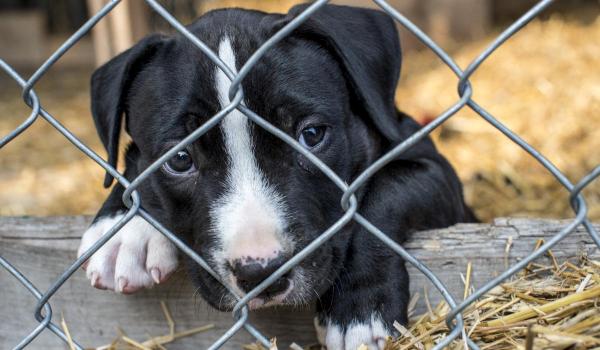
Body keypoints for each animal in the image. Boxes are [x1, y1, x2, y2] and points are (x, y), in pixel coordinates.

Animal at [77, 3, 476, 350]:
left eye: (311, 135)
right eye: (180, 159)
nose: (260, 272)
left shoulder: (438, 175)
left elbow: (385, 192)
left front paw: (359, 309)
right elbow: (133, 159)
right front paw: (124, 229)